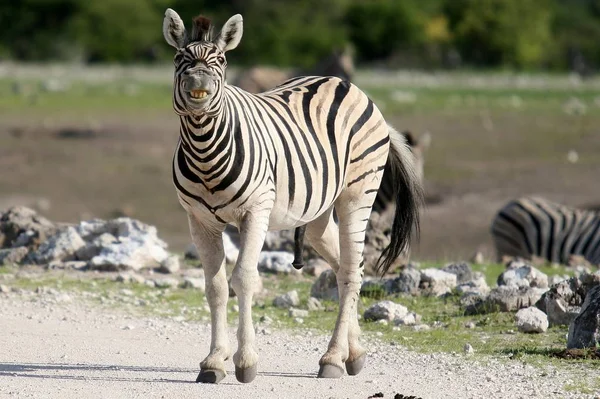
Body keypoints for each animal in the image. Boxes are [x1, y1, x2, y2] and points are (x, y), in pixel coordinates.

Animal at [159, 9, 422, 384]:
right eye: (179, 58)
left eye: (221, 61)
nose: (198, 84)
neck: (204, 146)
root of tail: (343, 83)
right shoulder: (199, 220)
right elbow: (216, 286)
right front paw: (213, 362)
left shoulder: (256, 211)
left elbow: (244, 279)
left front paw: (245, 362)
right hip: (317, 215)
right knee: (345, 265)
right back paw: (353, 354)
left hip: (357, 195)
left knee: (350, 270)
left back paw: (332, 358)